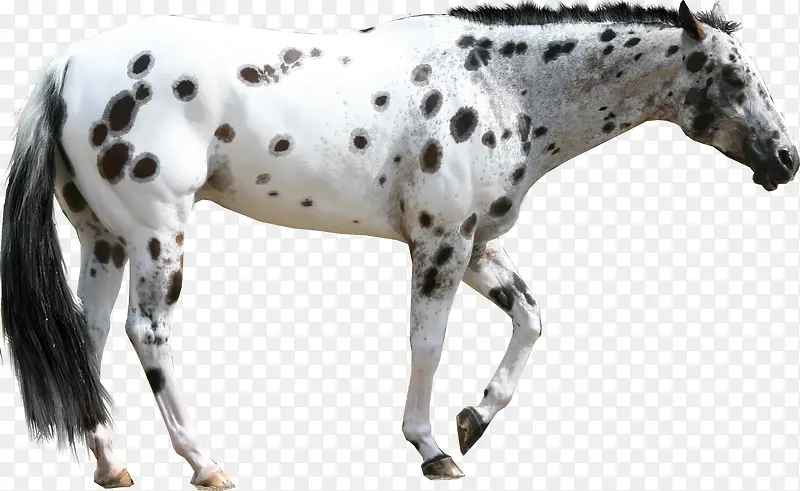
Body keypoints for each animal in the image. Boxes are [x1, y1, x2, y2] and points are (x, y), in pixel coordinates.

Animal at [1, 1, 797, 488]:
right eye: (732, 76)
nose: (786, 159)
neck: (502, 82)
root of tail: (66, 67)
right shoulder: (440, 242)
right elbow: (428, 342)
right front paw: (434, 447)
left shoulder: (475, 243)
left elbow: (531, 316)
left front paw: (475, 419)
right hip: (155, 234)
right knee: (147, 332)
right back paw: (206, 462)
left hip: (103, 237)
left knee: (87, 335)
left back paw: (111, 464)